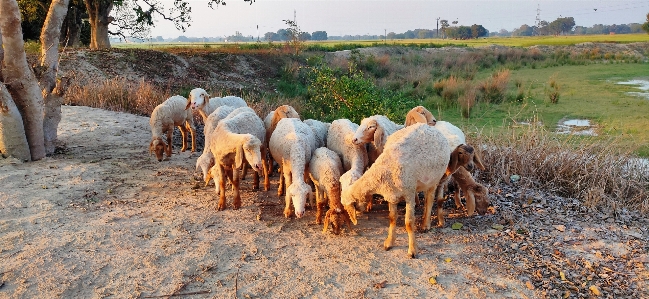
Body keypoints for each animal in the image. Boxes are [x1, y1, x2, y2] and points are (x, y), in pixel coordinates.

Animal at [340, 123, 450, 258]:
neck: (382, 171)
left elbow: (409, 222)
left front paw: (412, 250)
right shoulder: (391, 195)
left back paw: (426, 225)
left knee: (429, 200)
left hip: (434, 179)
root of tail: (430, 127)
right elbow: (392, 218)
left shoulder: (409, 193)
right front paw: (389, 242)